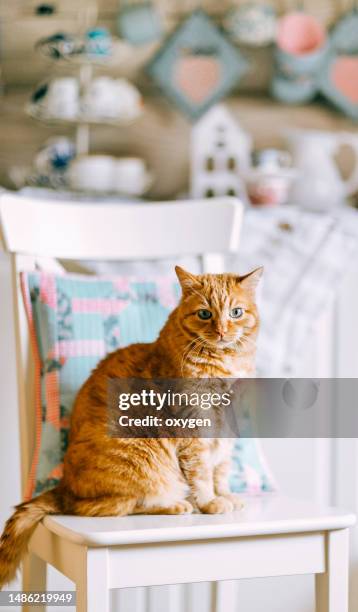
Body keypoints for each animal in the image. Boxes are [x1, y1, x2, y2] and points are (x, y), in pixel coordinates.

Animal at [0, 266, 262, 584]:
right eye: (204, 314)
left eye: (236, 312)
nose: (222, 331)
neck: (225, 365)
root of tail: (63, 488)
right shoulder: (194, 429)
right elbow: (201, 475)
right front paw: (211, 502)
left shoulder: (226, 432)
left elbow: (220, 470)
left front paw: (224, 494)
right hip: (142, 461)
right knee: (119, 505)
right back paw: (177, 504)